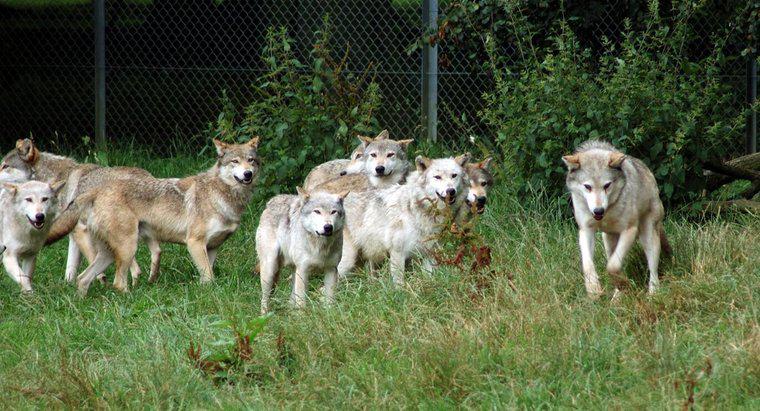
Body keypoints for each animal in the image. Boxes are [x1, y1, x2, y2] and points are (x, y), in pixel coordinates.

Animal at [1, 138, 156, 284]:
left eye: (5, 166)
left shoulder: (79, 230)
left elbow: (92, 261)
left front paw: (100, 282)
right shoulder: (73, 234)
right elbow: (70, 268)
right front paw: (67, 287)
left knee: (135, 269)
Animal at [50, 138, 260, 296]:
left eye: (251, 160)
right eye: (235, 161)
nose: (248, 174)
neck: (222, 195)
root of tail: (96, 190)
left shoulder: (213, 247)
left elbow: (206, 276)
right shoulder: (194, 243)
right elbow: (209, 277)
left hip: (109, 254)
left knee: (82, 279)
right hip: (128, 248)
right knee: (118, 283)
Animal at [336, 154, 470, 286]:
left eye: (454, 175)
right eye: (437, 177)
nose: (450, 191)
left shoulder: (430, 254)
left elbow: (429, 278)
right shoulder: (397, 253)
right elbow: (399, 284)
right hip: (347, 261)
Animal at [560, 142, 668, 300]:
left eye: (607, 185)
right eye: (587, 186)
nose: (598, 211)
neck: (607, 214)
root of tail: (647, 171)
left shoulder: (629, 230)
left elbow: (612, 266)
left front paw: (623, 283)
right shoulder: (585, 230)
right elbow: (587, 264)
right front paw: (593, 289)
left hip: (648, 237)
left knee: (652, 269)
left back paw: (653, 293)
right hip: (608, 241)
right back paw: (617, 298)